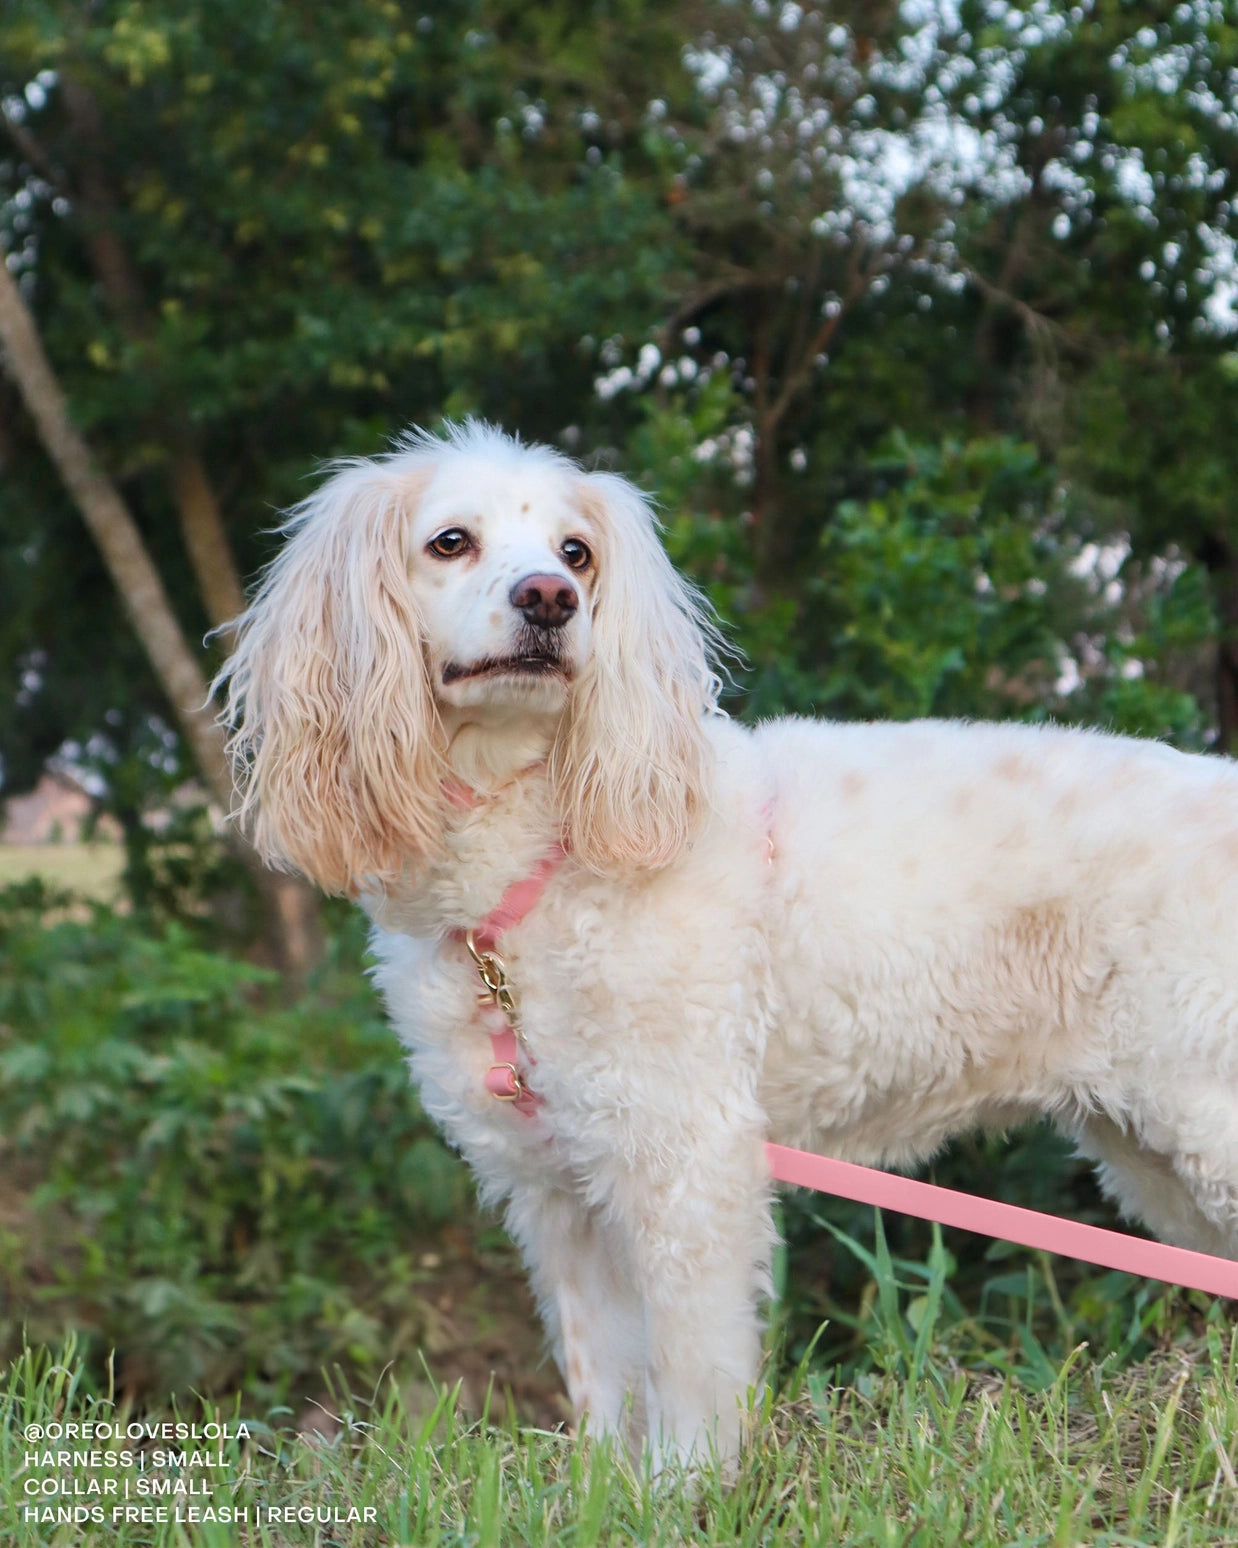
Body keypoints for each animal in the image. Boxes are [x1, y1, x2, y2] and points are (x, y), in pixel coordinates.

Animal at [219, 421, 1238, 1461]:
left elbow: (688, 1365)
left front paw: (690, 1480)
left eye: (577, 553)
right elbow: (600, 1376)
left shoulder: (686, 1158)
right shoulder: (554, 1187)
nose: (550, 598)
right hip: (1149, 1154)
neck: (540, 847)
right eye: (450, 541)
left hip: (1204, 1113)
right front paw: (608, 1484)